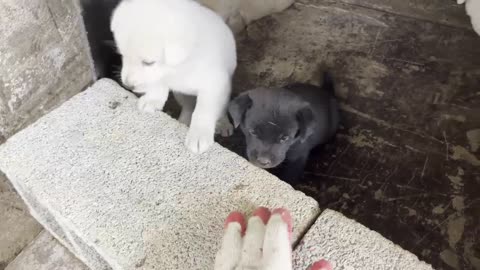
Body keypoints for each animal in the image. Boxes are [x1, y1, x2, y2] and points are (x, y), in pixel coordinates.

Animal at [109, 0, 236, 153]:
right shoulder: (162, 77)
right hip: (180, 94)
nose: (128, 85)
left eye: (148, 62)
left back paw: (223, 124)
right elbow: (158, 86)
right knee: (188, 106)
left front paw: (199, 134)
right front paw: (152, 99)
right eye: (122, 55)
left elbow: (203, 110)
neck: (179, 66)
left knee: (220, 110)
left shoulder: (214, 84)